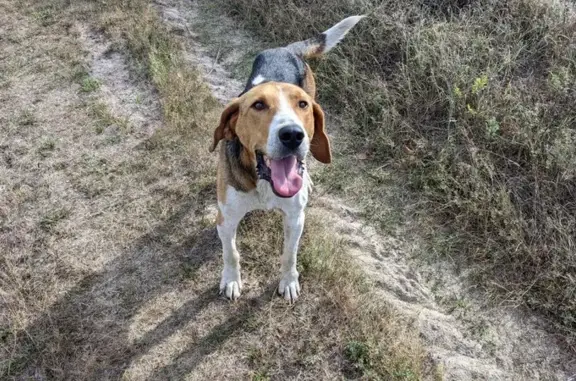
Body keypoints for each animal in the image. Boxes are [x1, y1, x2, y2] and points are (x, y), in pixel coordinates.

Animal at [210, 14, 364, 302]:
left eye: (302, 105)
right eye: (258, 105)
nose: (292, 135)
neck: (264, 182)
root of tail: (287, 49)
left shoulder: (295, 218)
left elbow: (289, 255)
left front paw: (289, 282)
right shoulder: (226, 219)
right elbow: (231, 253)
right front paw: (232, 280)